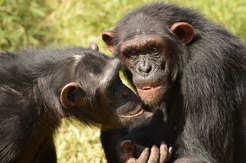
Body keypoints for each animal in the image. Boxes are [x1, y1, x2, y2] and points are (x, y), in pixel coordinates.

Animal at [101, 2, 246, 163]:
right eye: (132, 53)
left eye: (154, 49)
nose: (145, 69)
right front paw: (128, 154)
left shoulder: (207, 67)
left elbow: (194, 157)